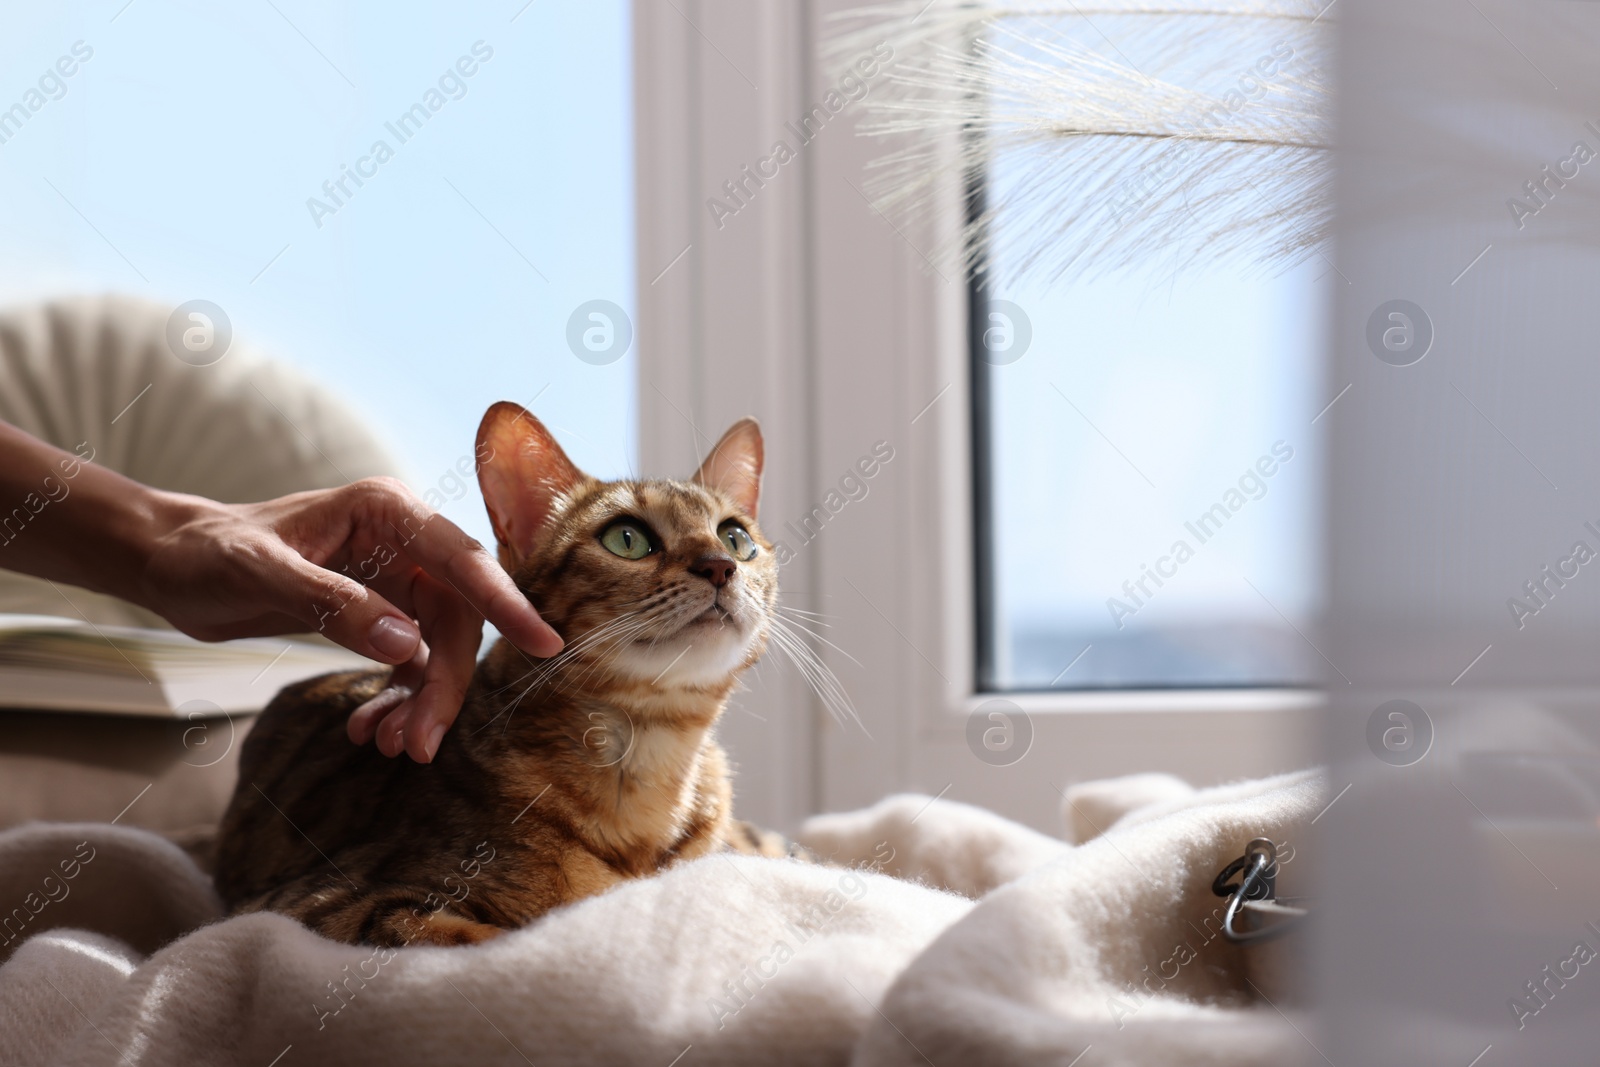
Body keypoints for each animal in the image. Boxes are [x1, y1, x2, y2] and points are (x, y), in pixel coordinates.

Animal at [214, 404, 819, 947]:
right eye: (627, 539)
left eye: (736, 537)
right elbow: (487, 936)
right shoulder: (323, 905)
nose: (721, 565)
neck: (653, 751)